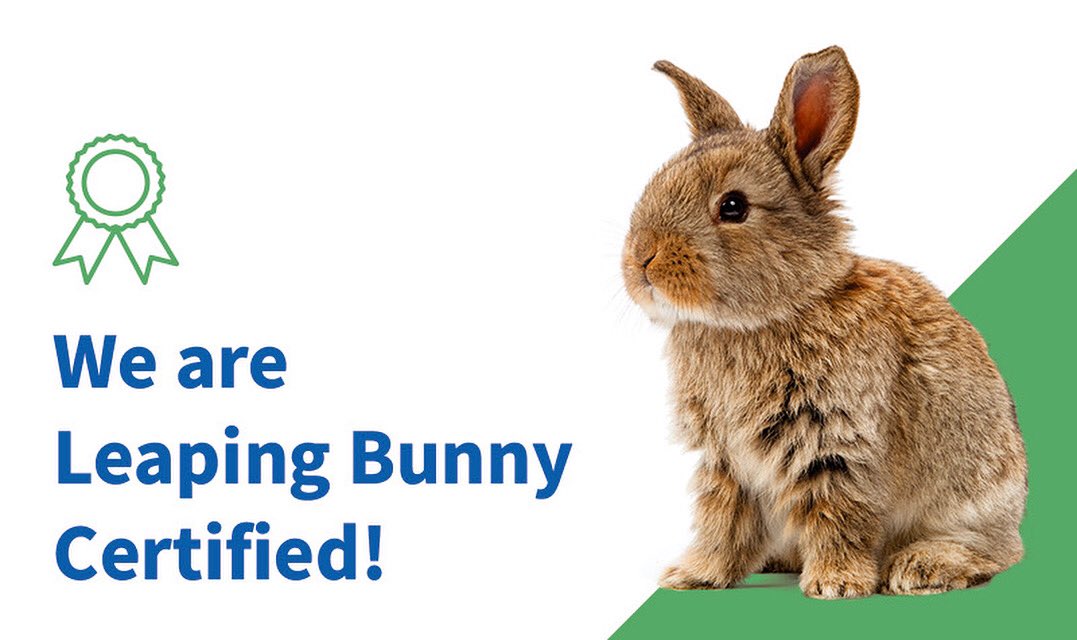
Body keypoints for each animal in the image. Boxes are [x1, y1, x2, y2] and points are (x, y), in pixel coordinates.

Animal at [621, 46, 1027, 599]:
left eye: (734, 206)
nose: (642, 260)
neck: (767, 317)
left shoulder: (834, 443)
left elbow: (837, 514)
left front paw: (836, 585)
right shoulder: (728, 463)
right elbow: (723, 521)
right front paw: (693, 577)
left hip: (974, 500)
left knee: (994, 552)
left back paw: (921, 567)